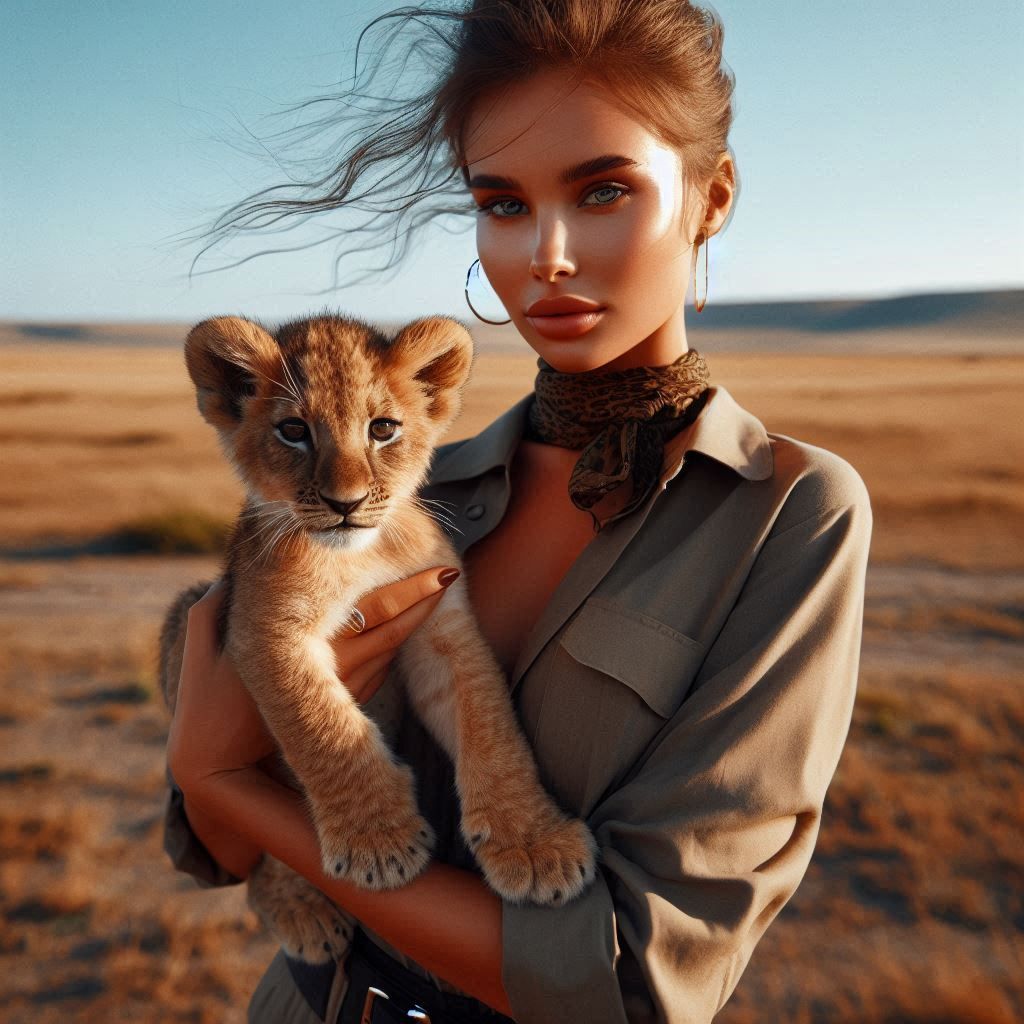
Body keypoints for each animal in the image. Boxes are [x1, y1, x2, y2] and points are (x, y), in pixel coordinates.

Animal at [158, 313, 597, 965]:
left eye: (383, 428)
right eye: (293, 431)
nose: (346, 503)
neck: (356, 556)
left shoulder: (443, 624)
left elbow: (493, 728)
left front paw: (537, 846)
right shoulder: (262, 629)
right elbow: (325, 727)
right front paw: (380, 845)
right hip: (183, 619)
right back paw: (303, 912)